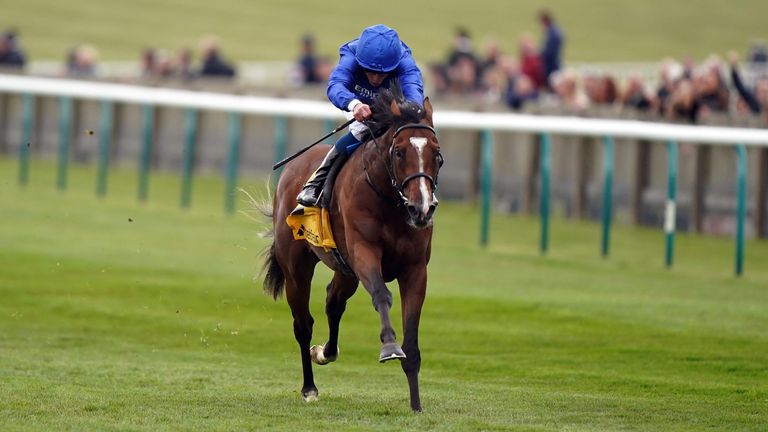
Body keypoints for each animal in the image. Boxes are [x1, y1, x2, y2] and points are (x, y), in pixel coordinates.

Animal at [260, 84, 444, 412]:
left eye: (436, 154)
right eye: (399, 152)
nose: (422, 208)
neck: (389, 201)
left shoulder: (414, 269)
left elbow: (412, 335)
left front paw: (416, 404)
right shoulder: (364, 253)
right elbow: (382, 296)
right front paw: (389, 347)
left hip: (345, 271)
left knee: (333, 302)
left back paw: (324, 352)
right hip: (297, 268)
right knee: (303, 324)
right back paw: (309, 387)